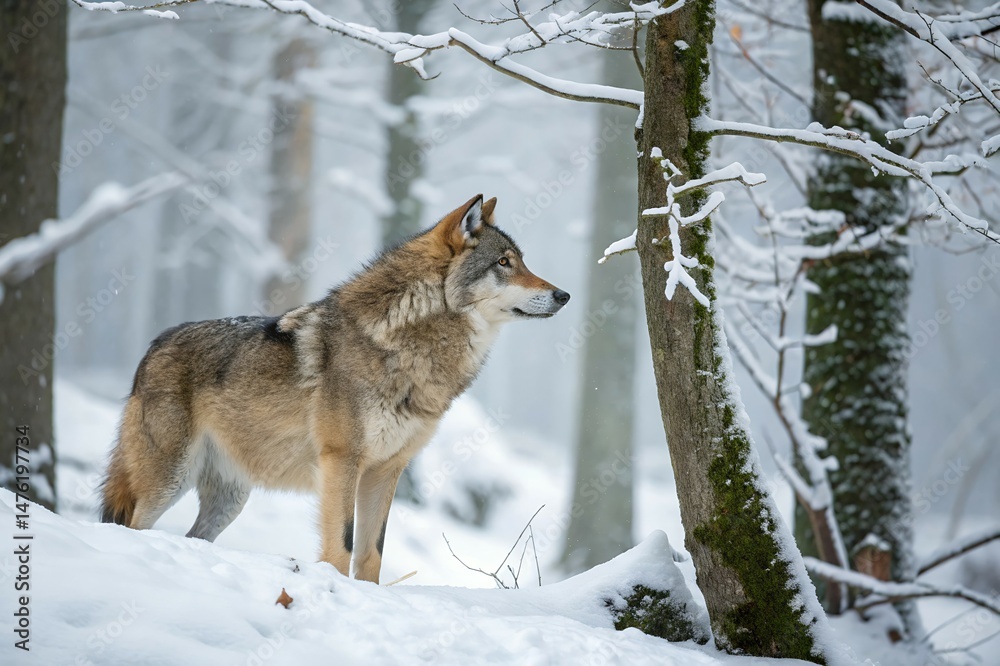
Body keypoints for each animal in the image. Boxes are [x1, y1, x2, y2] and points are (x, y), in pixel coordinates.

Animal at [100, 194, 569, 583]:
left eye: (520, 261)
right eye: (504, 263)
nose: (564, 295)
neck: (407, 341)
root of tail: (153, 346)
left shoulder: (386, 470)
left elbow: (372, 553)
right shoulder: (342, 461)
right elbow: (341, 545)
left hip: (229, 500)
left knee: (191, 535)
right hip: (167, 481)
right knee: (131, 526)